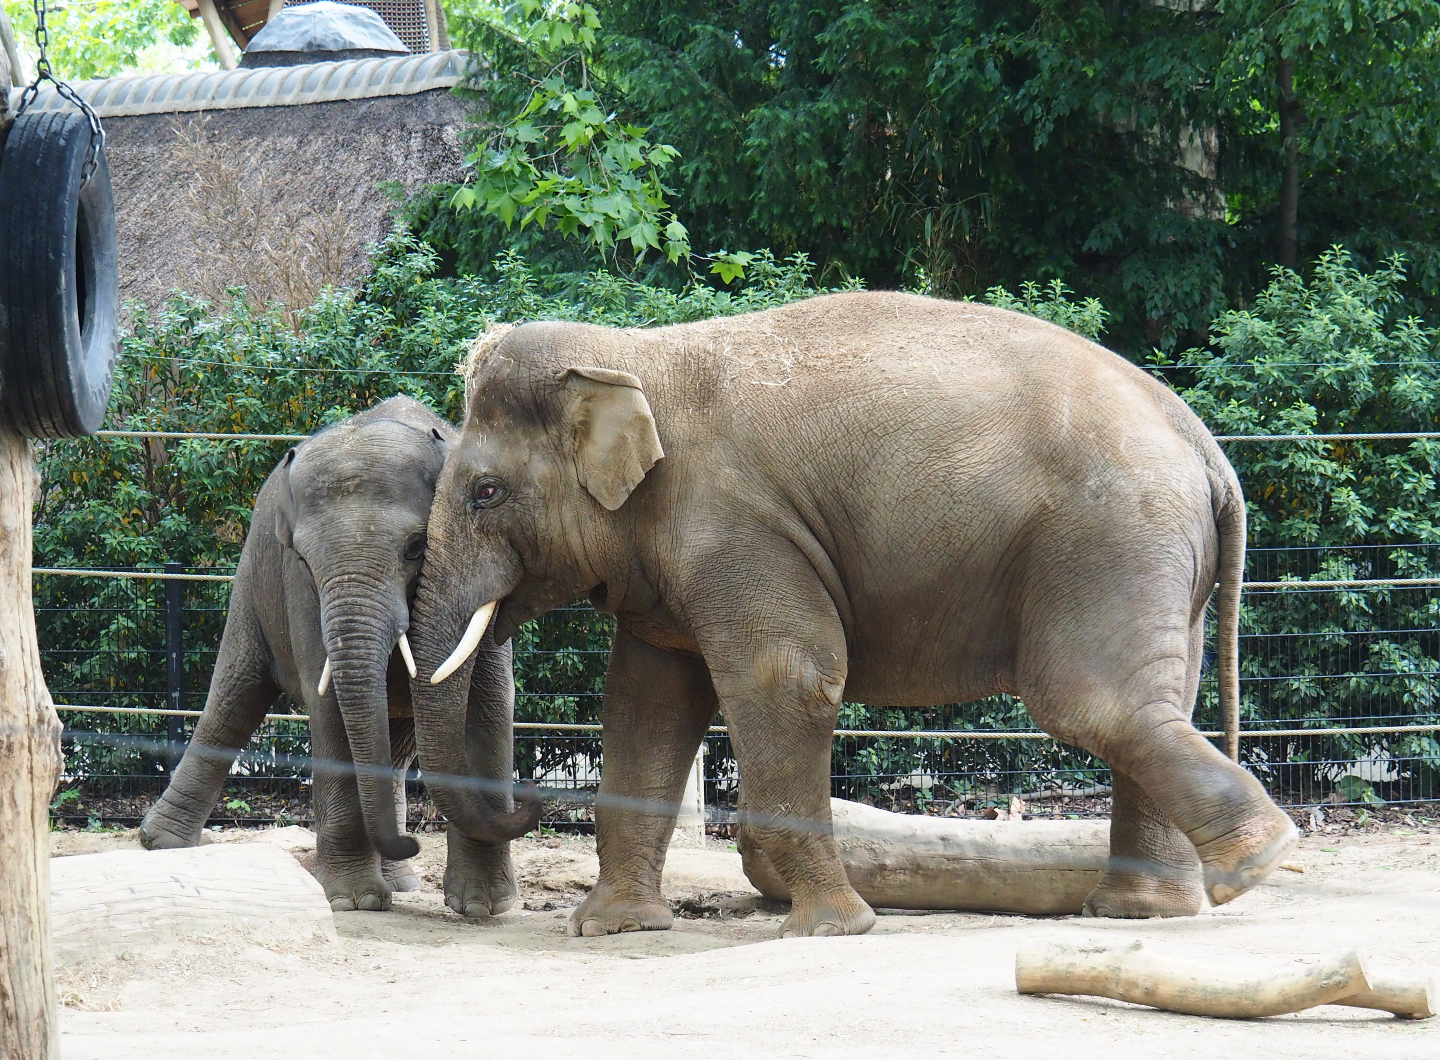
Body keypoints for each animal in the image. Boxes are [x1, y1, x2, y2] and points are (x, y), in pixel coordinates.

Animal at [139, 395, 541, 913]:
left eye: (417, 546)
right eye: (304, 559)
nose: (415, 843)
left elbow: (488, 703)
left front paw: (484, 907)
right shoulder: (298, 587)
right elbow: (326, 701)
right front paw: (356, 901)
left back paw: (402, 882)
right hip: (252, 584)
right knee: (234, 698)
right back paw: (163, 844)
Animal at [409, 292, 1299, 939]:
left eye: (485, 492)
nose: (528, 802)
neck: (632, 352)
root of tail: (1206, 446)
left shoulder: (737, 528)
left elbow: (786, 678)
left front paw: (831, 930)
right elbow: (645, 704)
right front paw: (614, 929)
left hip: (1110, 539)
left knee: (1095, 703)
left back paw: (1258, 861)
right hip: (1158, 559)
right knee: (1155, 701)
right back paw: (1143, 913)